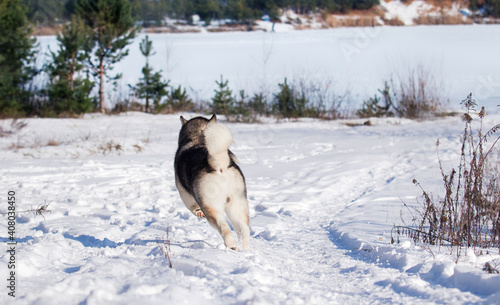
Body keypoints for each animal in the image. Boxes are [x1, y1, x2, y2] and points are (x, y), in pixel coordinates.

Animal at [174, 114, 250, 249]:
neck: (196, 138)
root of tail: (219, 165)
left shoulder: (184, 193)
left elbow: (192, 207)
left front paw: (198, 213)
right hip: (237, 204)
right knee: (243, 230)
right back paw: (245, 249)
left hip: (212, 207)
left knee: (224, 227)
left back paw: (231, 245)